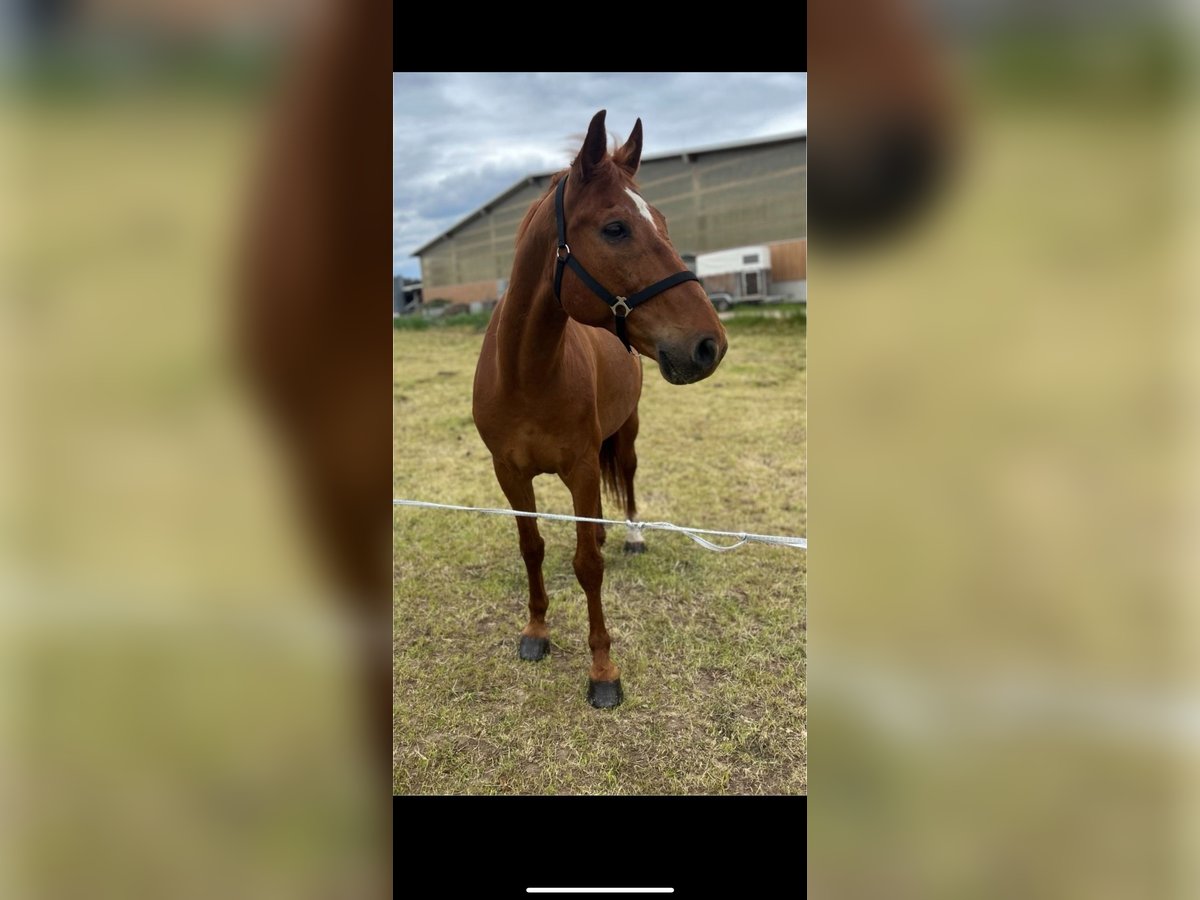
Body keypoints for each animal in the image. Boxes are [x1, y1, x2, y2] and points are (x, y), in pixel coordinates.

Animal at [472, 110, 729, 709]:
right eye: (616, 228)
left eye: (661, 220)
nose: (710, 345)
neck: (528, 373)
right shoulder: (509, 472)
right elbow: (534, 548)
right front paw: (536, 631)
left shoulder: (584, 468)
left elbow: (588, 565)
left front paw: (603, 670)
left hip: (626, 433)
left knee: (628, 480)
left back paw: (631, 535)